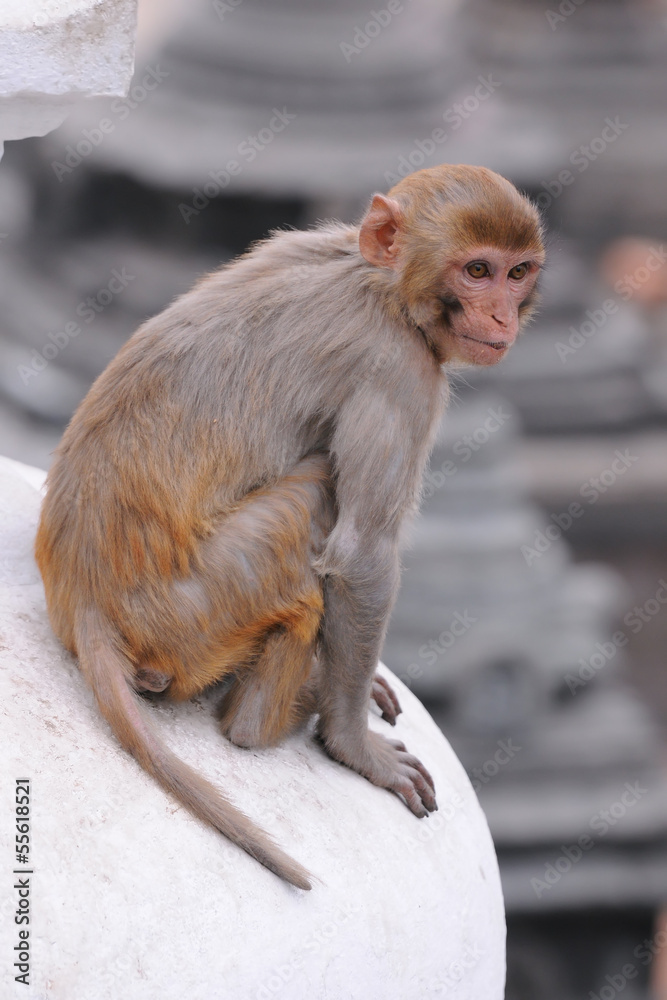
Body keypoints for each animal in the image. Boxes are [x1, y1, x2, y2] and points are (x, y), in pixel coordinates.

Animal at [35, 163, 544, 890]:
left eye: (517, 272)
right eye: (478, 270)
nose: (501, 314)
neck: (383, 282)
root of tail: (83, 602)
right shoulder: (400, 370)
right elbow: (361, 554)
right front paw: (354, 746)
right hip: (200, 608)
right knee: (314, 502)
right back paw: (271, 716)